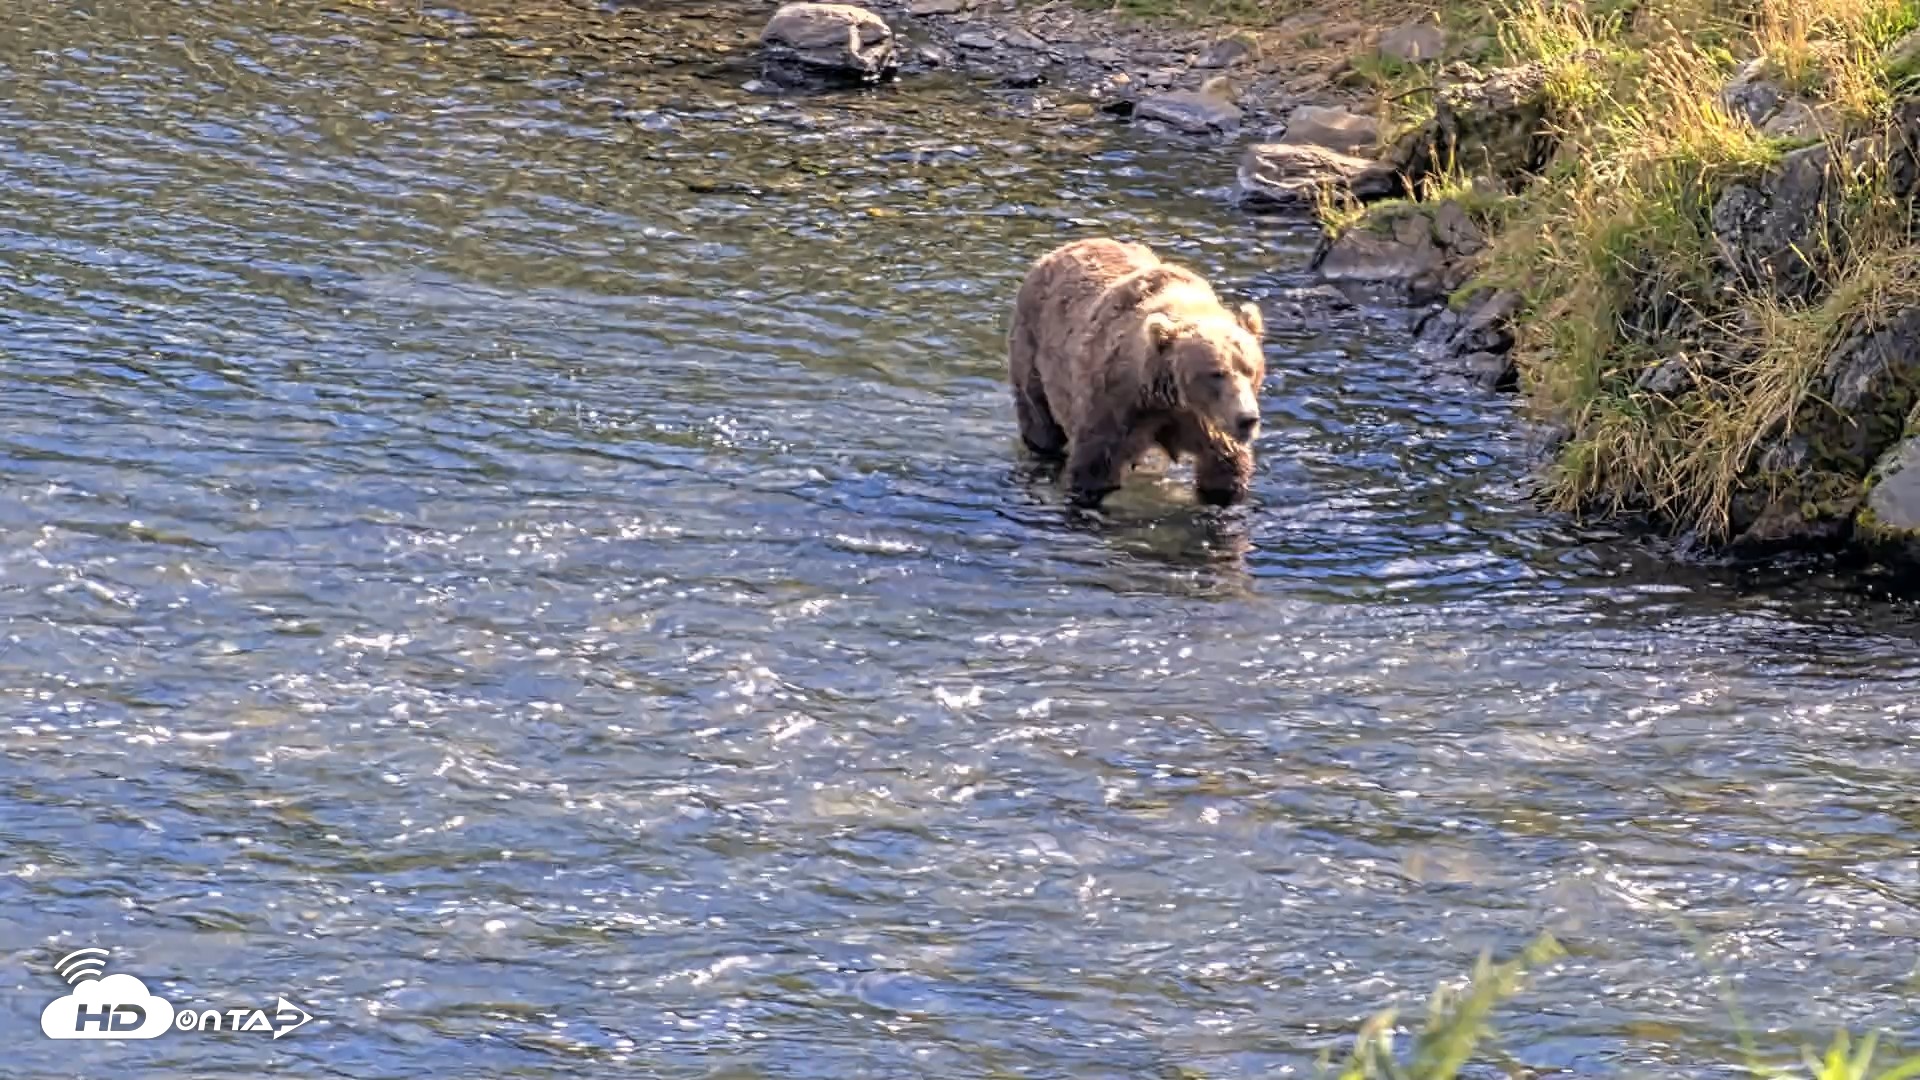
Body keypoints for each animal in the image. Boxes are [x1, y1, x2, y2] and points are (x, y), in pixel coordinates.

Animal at [1006, 237, 1268, 508]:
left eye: (1250, 370)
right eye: (1216, 373)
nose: (1247, 419)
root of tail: (1054, 253)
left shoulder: (1204, 423)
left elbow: (1225, 467)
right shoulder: (1114, 405)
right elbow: (1094, 466)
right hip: (1032, 350)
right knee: (1040, 420)